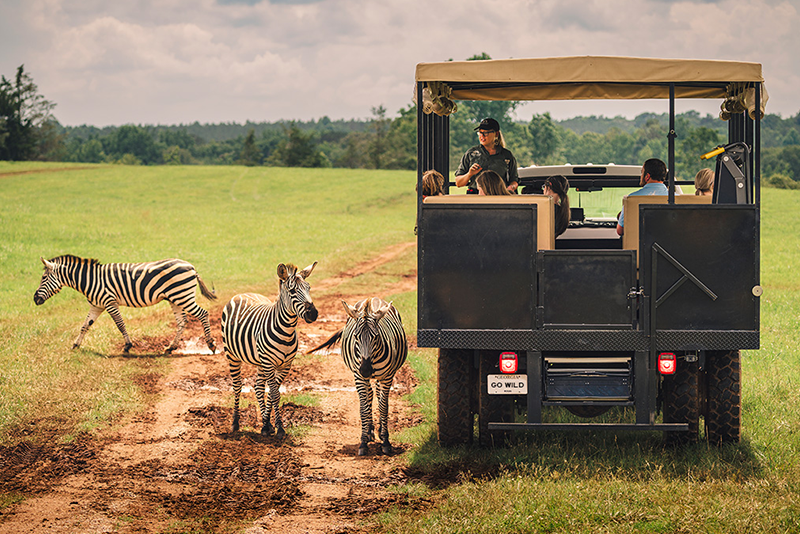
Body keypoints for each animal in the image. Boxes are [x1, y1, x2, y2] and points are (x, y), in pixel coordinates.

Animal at [33, 255, 217, 354]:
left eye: (43, 278)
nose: (35, 299)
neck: (90, 280)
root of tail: (191, 266)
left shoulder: (109, 302)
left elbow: (120, 324)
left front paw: (128, 346)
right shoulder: (96, 305)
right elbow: (85, 325)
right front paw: (75, 345)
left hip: (183, 296)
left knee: (203, 314)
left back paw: (211, 344)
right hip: (176, 298)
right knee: (182, 322)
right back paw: (171, 348)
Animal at [221, 262, 318, 437]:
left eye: (309, 288)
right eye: (292, 291)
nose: (313, 314)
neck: (286, 332)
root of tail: (242, 293)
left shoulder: (285, 365)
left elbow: (274, 393)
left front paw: (267, 425)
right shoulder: (269, 363)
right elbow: (274, 393)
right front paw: (279, 427)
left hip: (260, 362)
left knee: (258, 387)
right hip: (232, 355)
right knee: (237, 386)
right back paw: (235, 423)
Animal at [311, 297, 407, 456]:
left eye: (376, 337)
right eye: (356, 337)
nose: (366, 370)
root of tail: (374, 299)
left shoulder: (387, 376)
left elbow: (384, 407)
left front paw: (386, 442)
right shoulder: (359, 377)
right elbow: (363, 408)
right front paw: (363, 442)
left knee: (377, 394)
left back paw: (378, 431)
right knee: (370, 394)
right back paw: (369, 431)